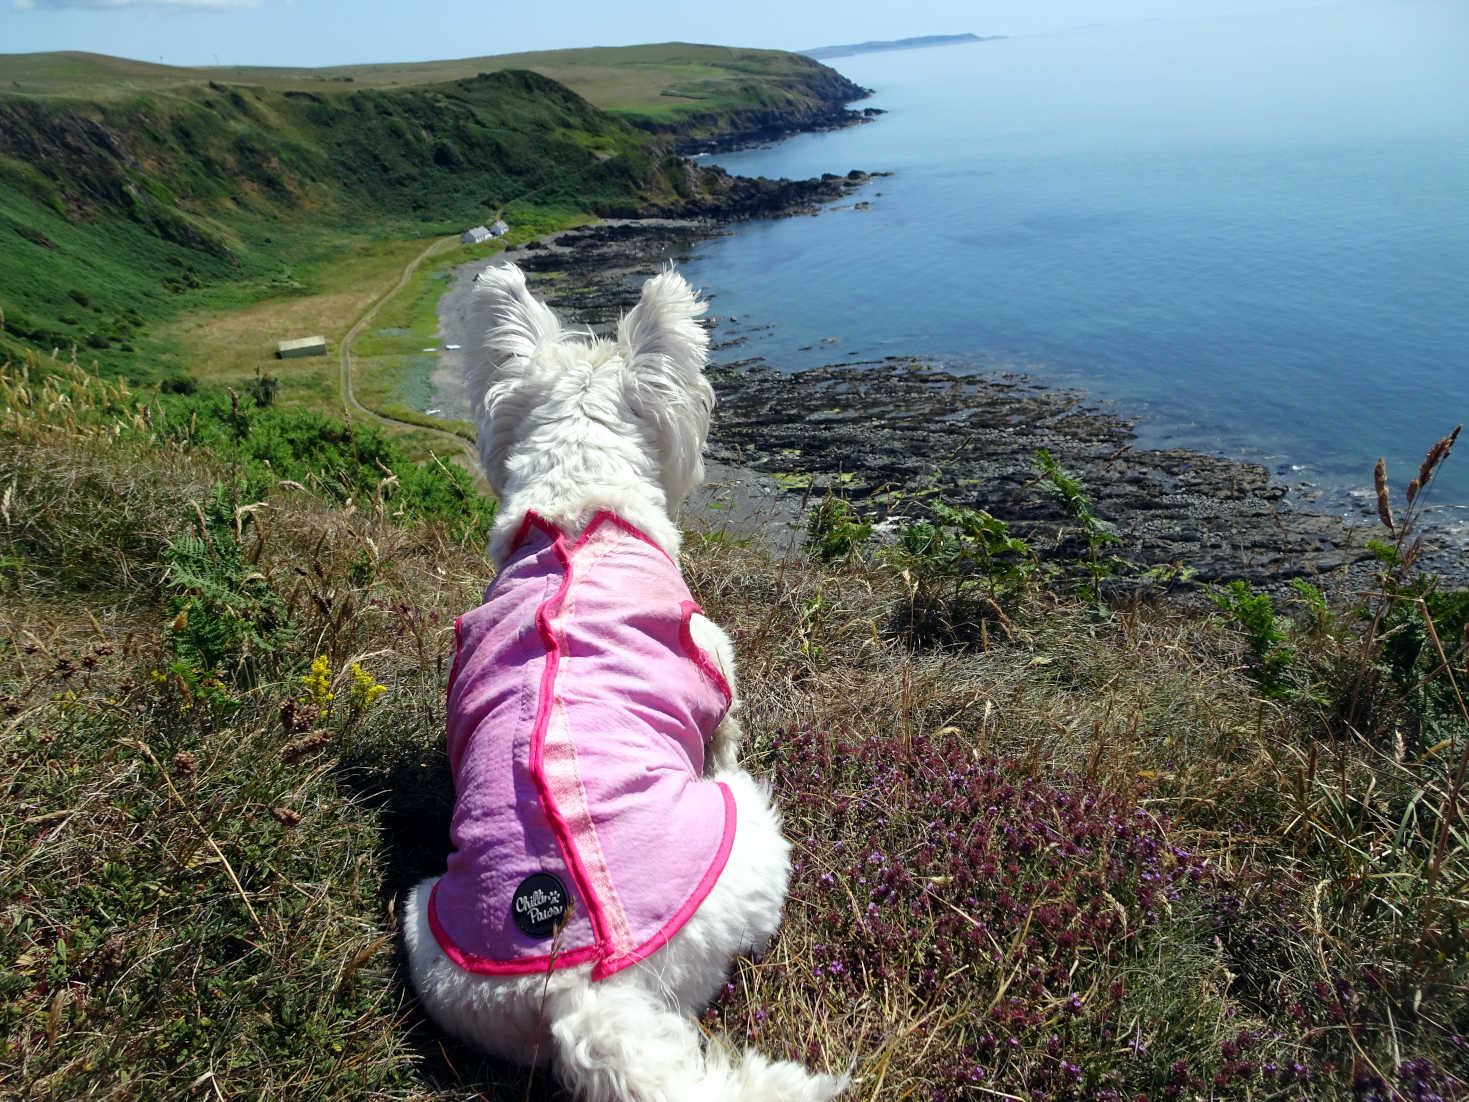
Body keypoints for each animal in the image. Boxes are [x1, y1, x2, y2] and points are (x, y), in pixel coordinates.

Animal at [402, 261, 846, 1102]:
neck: (579, 505)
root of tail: (578, 995)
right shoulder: (714, 663)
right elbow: (725, 727)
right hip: (745, 832)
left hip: (423, 922)